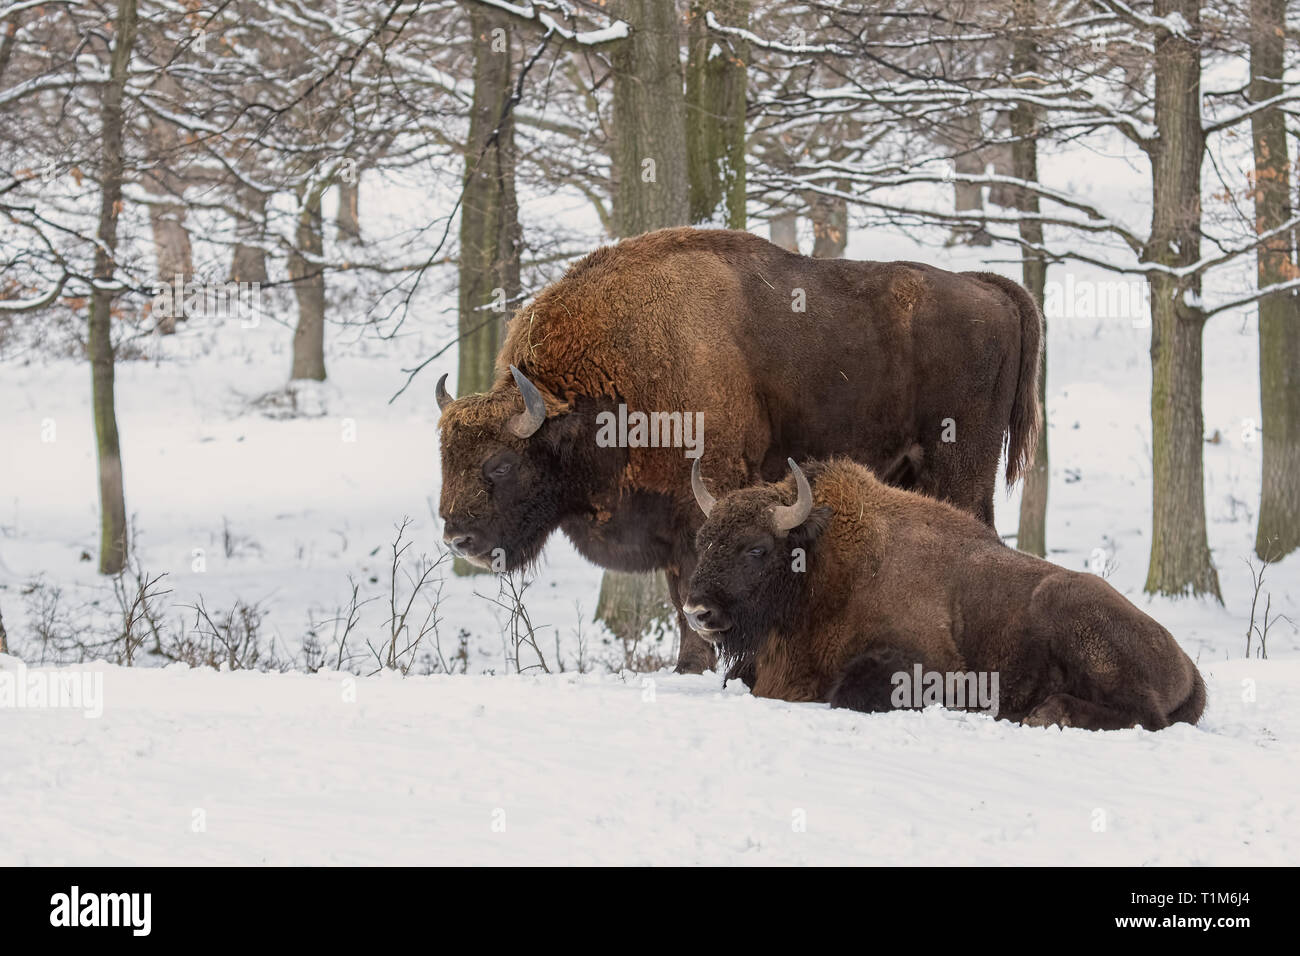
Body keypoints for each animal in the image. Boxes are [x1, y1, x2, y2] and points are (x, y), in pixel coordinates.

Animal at [436, 226, 1045, 671]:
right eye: (444, 456)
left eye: (500, 463)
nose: (458, 538)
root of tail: (989, 287)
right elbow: (680, 590)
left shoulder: (701, 495)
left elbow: (690, 586)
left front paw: (697, 663)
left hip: (960, 465)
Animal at [686, 457, 1201, 733]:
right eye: (703, 540)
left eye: (756, 548)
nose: (696, 610)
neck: (823, 567)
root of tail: (1188, 666)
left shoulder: (933, 664)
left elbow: (850, 688)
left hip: (1072, 614)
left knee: (1145, 714)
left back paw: (1043, 713)